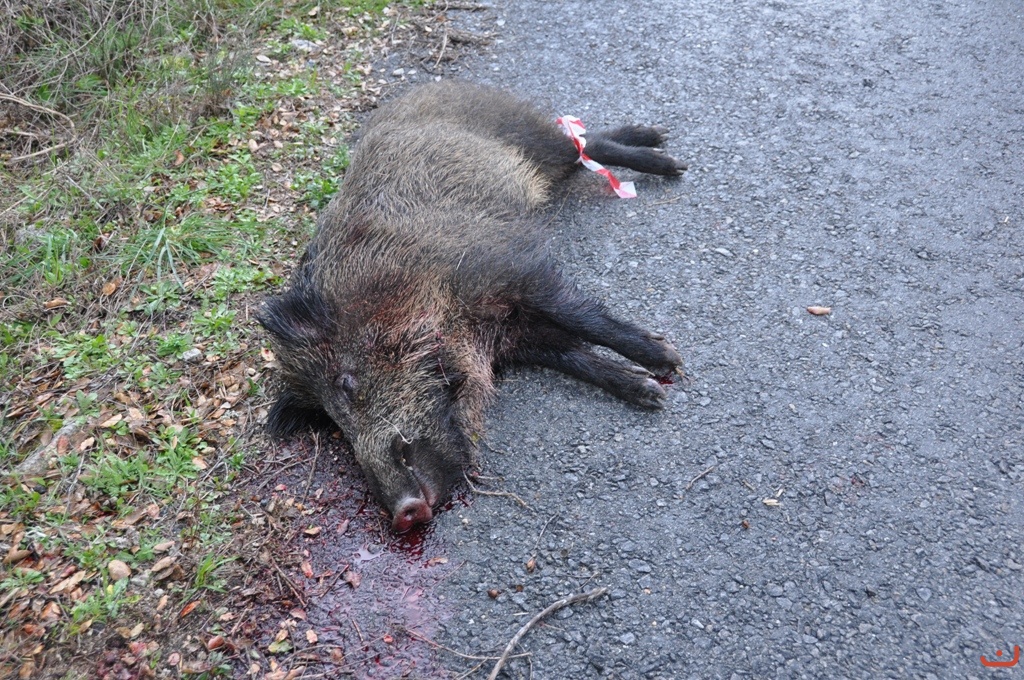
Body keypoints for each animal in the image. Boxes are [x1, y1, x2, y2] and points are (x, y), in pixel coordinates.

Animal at [258, 81, 686, 532]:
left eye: (346, 382)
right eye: (331, 423)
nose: (403, 512)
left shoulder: (512, 268)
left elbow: (583, 316)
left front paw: (668, 358)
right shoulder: (517, 338)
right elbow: (574, 355)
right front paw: (650, 392)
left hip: (527, 137)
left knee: (581, 145)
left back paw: (670, 159)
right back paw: (657, 136)